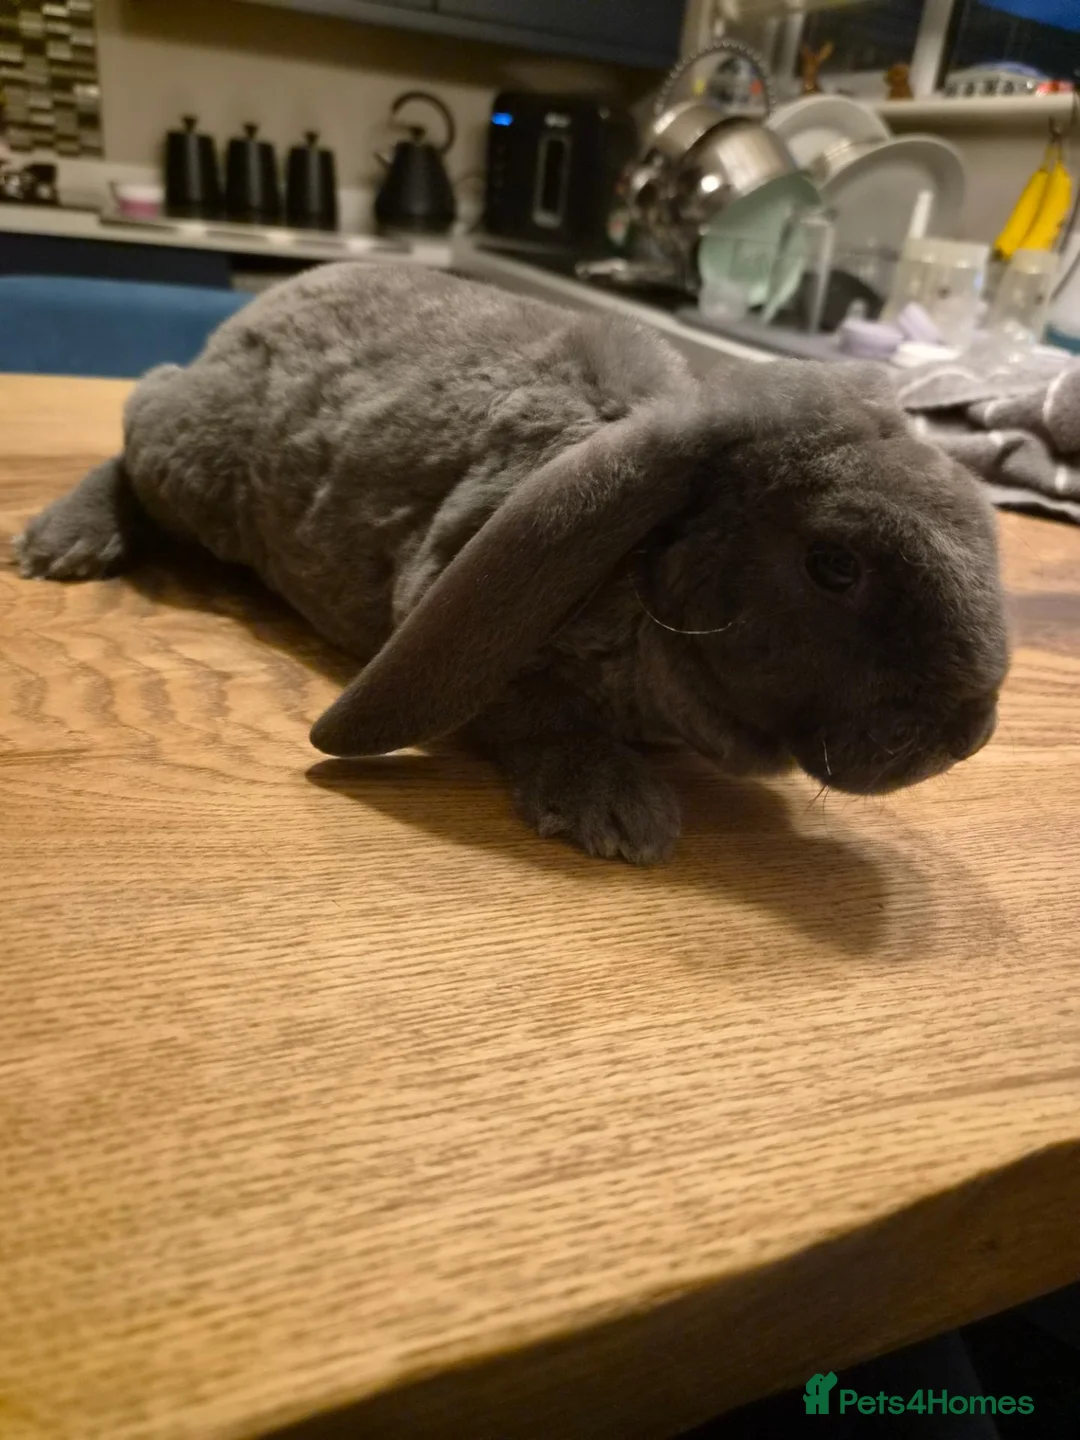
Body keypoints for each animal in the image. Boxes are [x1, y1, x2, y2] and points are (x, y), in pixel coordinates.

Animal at [16, 263, 1008, 864]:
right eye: (834, 565)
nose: (970, 736)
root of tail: (255, 309)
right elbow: (541, 716)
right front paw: (620, 815)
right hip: (196, 461)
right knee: (136, 424)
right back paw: (63, 543)